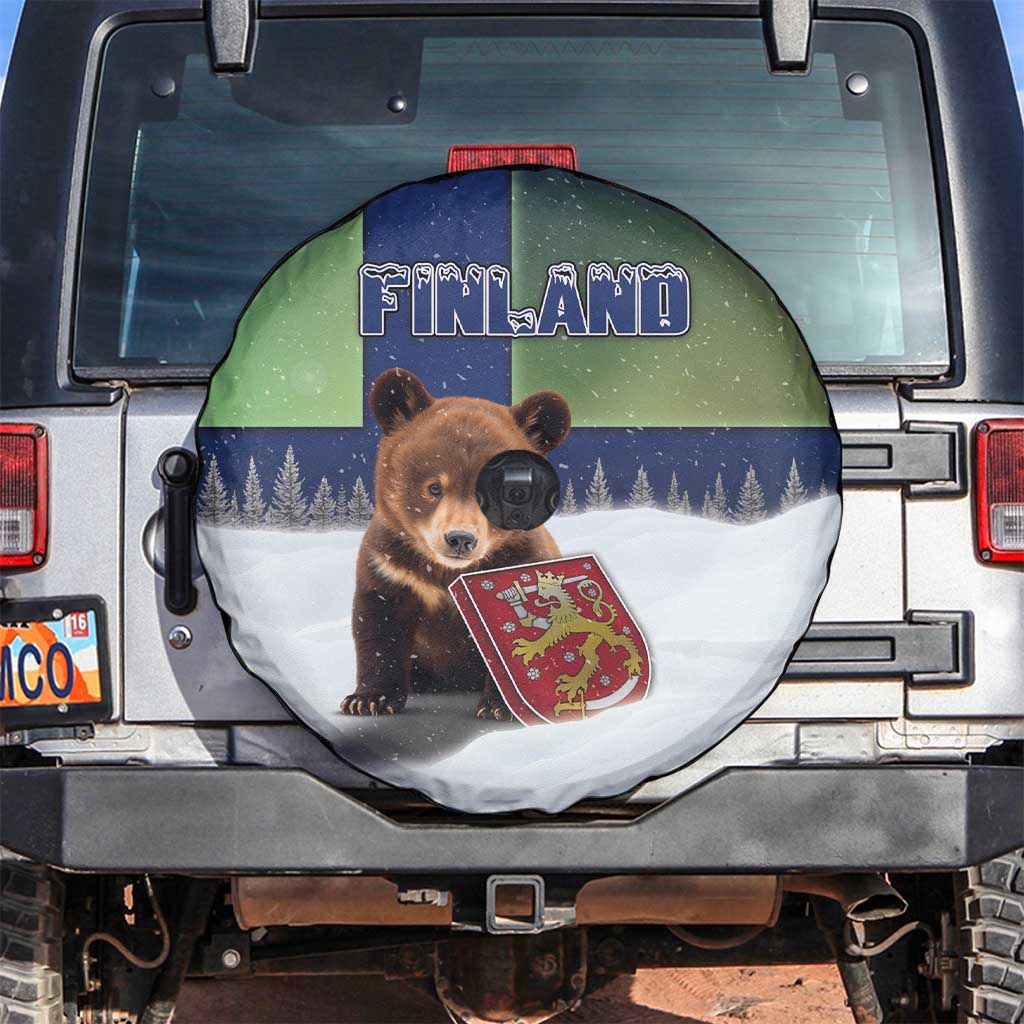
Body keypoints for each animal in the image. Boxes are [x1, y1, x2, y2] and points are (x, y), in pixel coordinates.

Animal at [340, 367, 571, 720]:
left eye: (507, 492)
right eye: (434, 487)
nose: (460, 539)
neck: (443, 571)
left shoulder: (522, 559)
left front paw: (501, 705)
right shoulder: (389, 564)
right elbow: (377, 625)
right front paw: (367, 699)